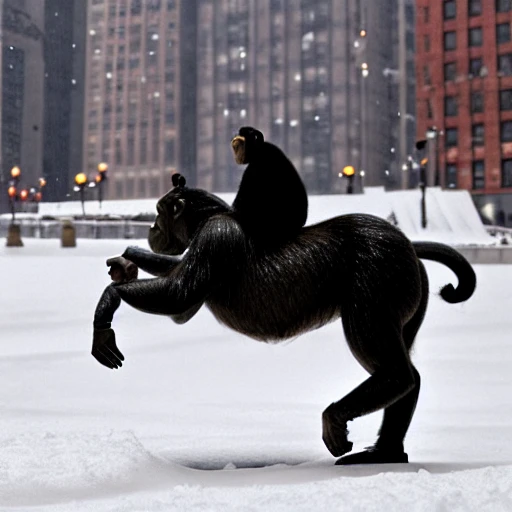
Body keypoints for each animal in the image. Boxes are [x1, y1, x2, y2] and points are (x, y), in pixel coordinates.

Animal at [91, 175, 476, 464]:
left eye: (159, 211)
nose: (153, 226)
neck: (206, 218)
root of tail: (409, 244)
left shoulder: (216, 237)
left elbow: (179, 295)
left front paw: (108, 302)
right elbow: (181, 310)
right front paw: (127, 261)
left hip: (377, 280)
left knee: (394, 370)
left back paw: (339, 420)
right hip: (407, 289)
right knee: (407, 371)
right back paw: (386, 451)